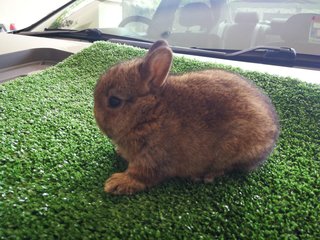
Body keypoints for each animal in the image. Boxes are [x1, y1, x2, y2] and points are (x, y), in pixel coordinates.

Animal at [94, 39, 278, 195]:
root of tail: (273, 132)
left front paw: (116, 183)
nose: (98, 121)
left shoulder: (153, 157)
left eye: (114, 101)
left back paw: (205, 175)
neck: (150, 112)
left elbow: (140, 175)